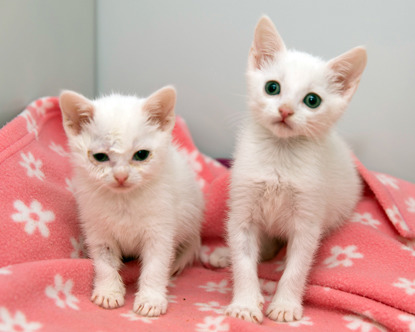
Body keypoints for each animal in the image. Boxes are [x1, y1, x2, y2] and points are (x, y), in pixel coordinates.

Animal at [59, 85, 206, 316]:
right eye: (100, 157)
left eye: (141, 154)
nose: (121, 176)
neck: (124, 200)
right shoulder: (97, 229)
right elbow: (104, 262)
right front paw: (108, 292)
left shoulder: (160, 228)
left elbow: (155, 266)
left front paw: (151, 300)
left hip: (191, 213)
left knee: (191, 243)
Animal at [213, 16, 366, 322]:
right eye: (272, 87)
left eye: (312, 100)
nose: (285, 110)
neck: (279, 156)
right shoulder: (242, 211)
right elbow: (243, 258)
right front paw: (245, 303)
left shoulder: (308, 220)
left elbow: (296, 266)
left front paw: (285, 305)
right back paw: (224, 255)